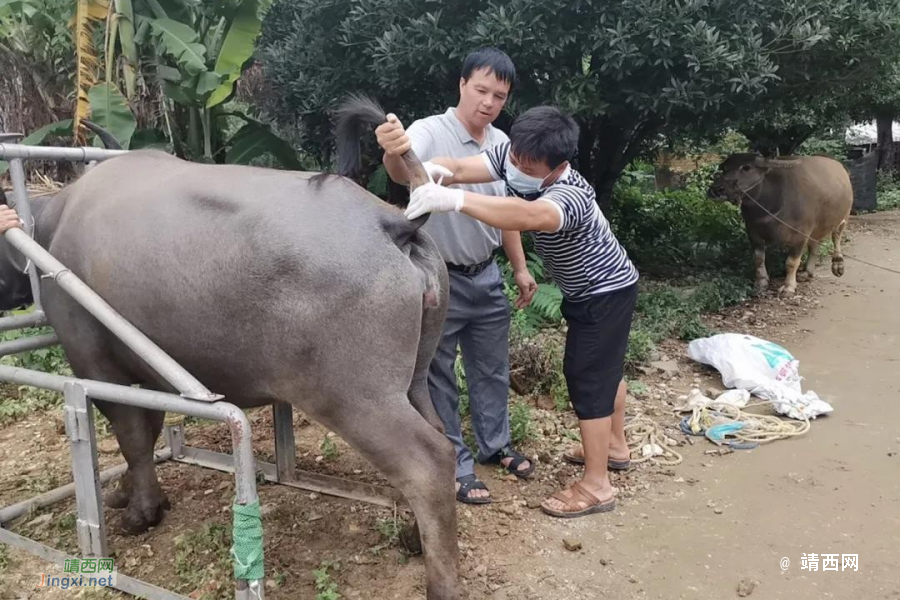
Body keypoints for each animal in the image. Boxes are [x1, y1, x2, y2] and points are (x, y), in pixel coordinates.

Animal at [0, 101, 460, 596]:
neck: (56, 223)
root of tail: (392, 220)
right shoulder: (146, 369)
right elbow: (147, 430)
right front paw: (127, 493)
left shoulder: (94, 364)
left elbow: (132, 437)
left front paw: (142, 511)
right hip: (413, 381)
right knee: (441, 434)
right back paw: (414, 536)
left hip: (356, 399)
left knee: (428, 464)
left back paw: (441, 583)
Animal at [712, 155, 852, 296]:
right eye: (724, 168)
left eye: (746, 167)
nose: (717, 189)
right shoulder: (752, 232)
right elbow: (758, 259)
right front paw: (761, 283)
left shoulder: (800, 235)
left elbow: (791, 262)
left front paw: (788, 287)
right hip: (818, 226)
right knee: (814, 245)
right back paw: (807, 273)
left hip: (844, 217)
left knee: (836, 236)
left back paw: (838, 264)